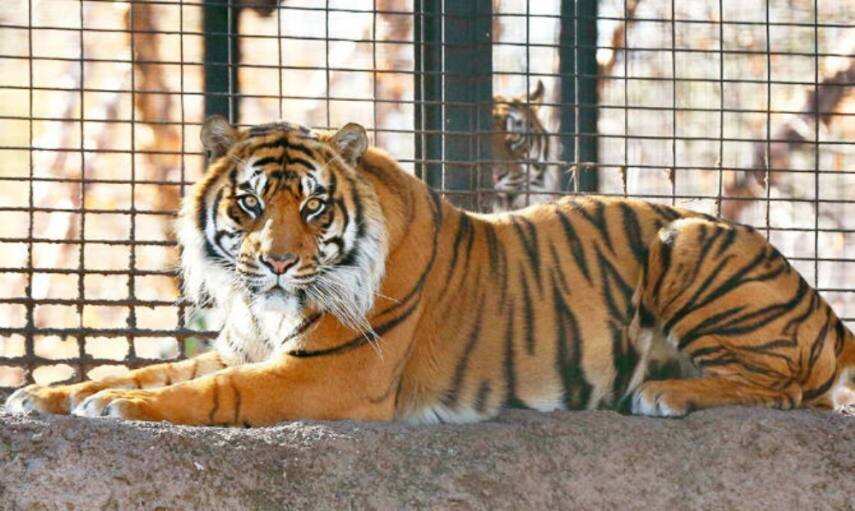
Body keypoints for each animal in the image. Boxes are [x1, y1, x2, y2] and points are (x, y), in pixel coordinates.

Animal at [6, 116, 854, 426]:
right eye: (248, 203)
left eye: (312, 206)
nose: (276, 261)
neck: (264, 307)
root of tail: (825, 312)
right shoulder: (243, 342)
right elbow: (145, 368)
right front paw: (46, 392)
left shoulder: (328, 371)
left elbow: (212, 392)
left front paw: (115, 408)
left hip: (688, 238)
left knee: (785, 388)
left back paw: (666, 391)